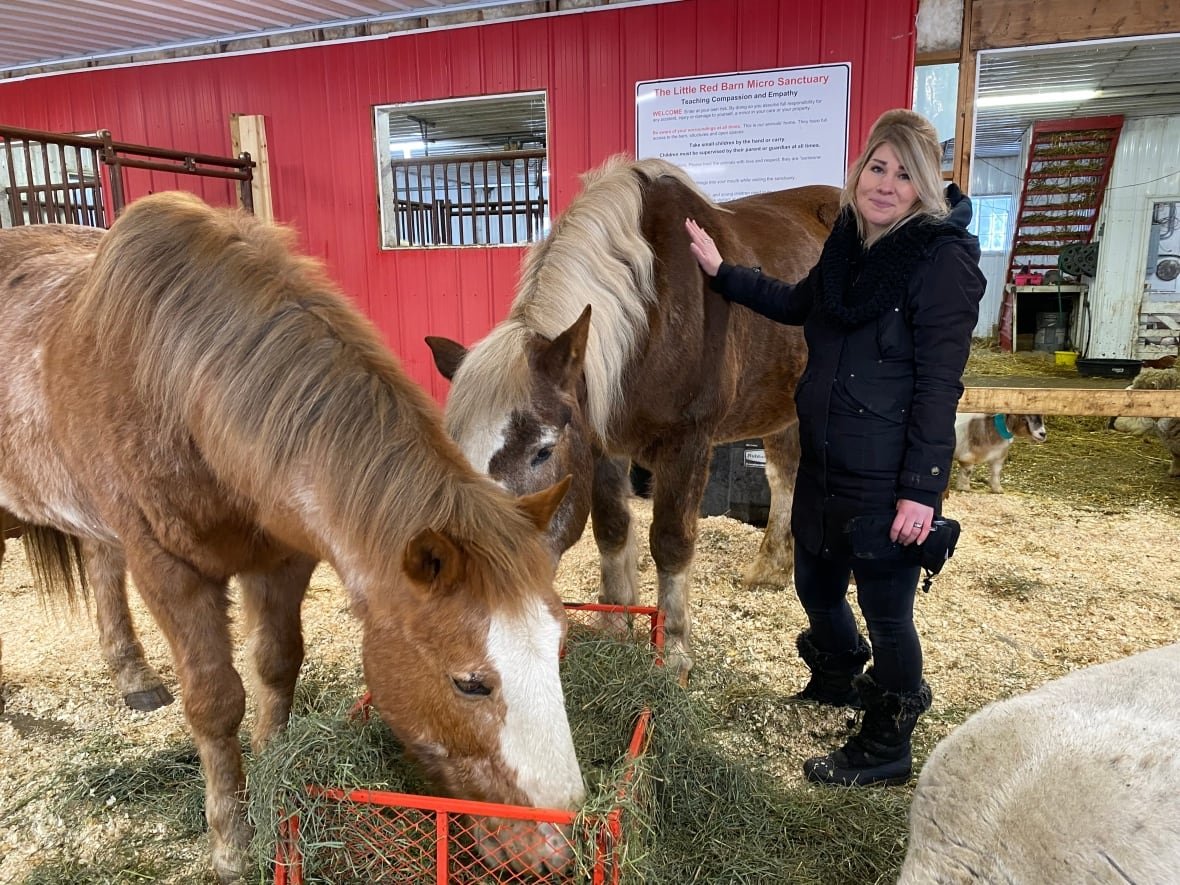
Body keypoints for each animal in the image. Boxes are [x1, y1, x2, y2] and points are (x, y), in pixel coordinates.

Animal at [0, 194, 581, 883]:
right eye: (469, 683)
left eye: (559, 646)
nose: (554, 853)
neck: (179, 386)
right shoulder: (168, 569)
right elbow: (216, 701)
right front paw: (232, 846)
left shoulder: (283, 558)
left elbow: (276, 666)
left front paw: (278, 785)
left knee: (99, 563)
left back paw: (133, 675)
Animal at [427, 155, 839, 681]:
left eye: (543, 450)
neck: (654, 314)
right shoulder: (602, 443)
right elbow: (612, 528)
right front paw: (616, 623)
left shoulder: (689, 443)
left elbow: (671, 540)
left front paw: (675, 651)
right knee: (784, 475)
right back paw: (770, 570)